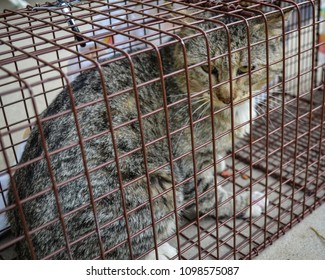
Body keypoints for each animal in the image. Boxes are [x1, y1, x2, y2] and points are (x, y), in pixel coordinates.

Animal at [6, 7, 288, 260]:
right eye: (208, 69)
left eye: (246, 69)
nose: (226, 96)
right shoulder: (190, 161)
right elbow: (210, 197)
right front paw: (245, 201)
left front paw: (222, 163)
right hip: (153, 188)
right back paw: (159, 252)